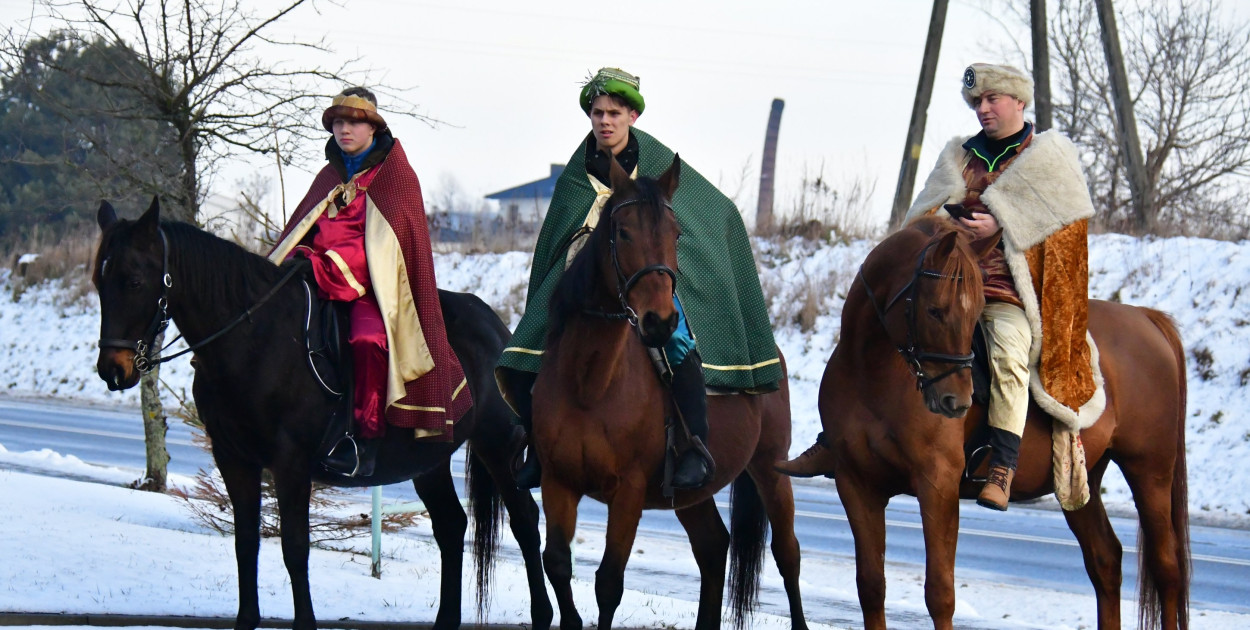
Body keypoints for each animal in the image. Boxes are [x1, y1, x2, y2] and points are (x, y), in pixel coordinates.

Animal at [92, 197, 552, 630]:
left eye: (134, 281)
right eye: (99, 281)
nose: (113, 371)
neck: (253, 338)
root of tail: (498, 328)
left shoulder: (290, 463)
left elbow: (295, 549)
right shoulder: (234, 459)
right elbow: (246, 544)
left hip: (497, 448)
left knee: (525, 521)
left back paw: (543, 614)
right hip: (429, 459)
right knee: (452, 526)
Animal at [530, 156, 805, 630]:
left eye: (676, 234)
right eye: (623, 232)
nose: (660, 320)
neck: (589, 384)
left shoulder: (629, 492)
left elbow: (608, 583)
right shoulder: (557, 481)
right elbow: (558, 565)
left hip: (771, 466)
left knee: (787, 554)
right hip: (694, 493)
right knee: (713, 547)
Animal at [810, 217, 1190, 630]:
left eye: (977, 307)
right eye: (934, 310)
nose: (957, 401)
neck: (872, 372)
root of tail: (1146, 318)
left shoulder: (937, 484)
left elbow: (940, 593)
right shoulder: (857, 484)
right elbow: (870, 585)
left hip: (1150, 471)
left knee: (1167, 567)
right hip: (1082, 476)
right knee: (1105, 561)